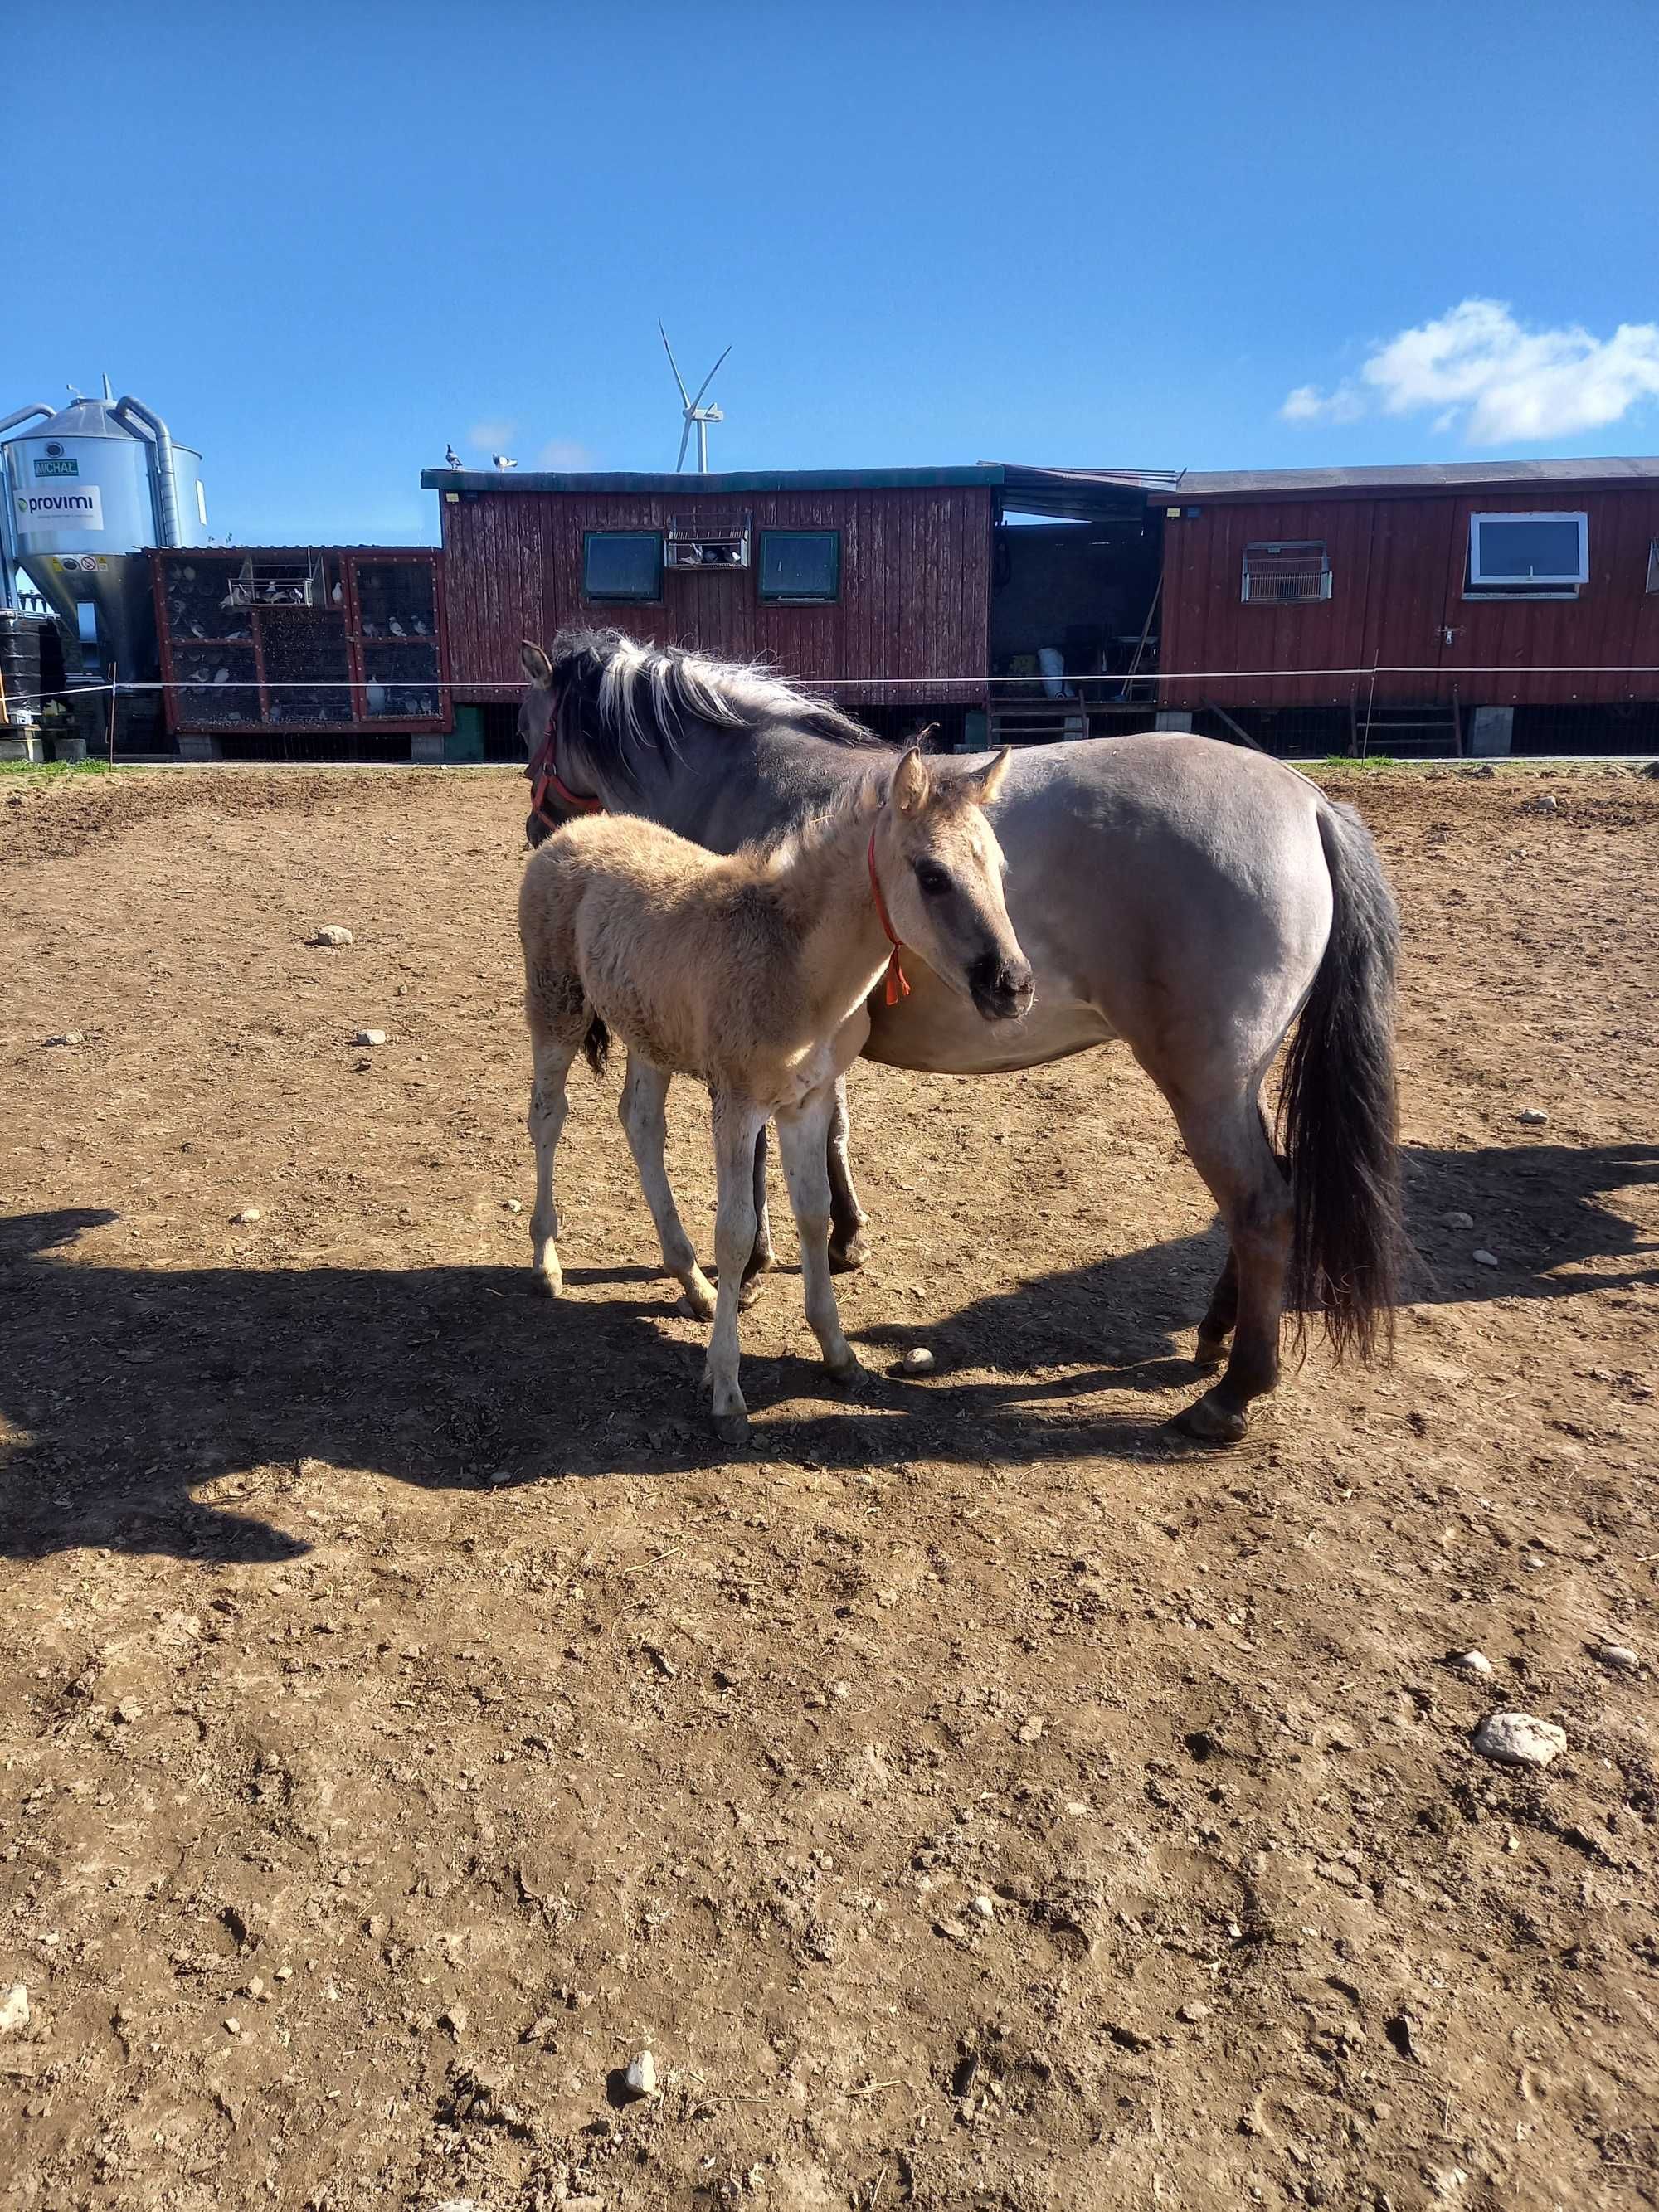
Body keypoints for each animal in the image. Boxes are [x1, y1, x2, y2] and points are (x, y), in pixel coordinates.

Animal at [519, 632, 1407, 1441]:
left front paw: (767, 1265)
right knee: (1268, 1193)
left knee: (1261, 1206)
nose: (536, 830)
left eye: (532, 727)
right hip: (1236, 1081)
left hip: (1206, 1083)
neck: (741, 775)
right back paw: (1216, 1335)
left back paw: (1233, 1390)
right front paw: (842, 1241)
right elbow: (831, 1139)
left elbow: (774, 1166)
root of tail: (1310, 801)